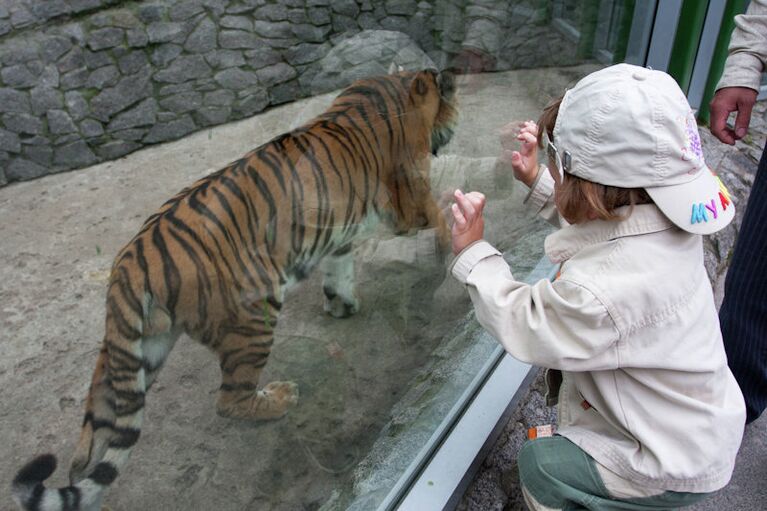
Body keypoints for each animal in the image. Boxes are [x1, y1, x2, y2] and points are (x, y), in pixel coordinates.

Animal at [12, 69, 460, 511]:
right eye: (448, 100)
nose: (455, 123)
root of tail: (129, 265)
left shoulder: (340, 232)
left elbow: (340, 270)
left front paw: (342, 305)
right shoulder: (411, 198)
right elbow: (439, 209)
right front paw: (453, 242)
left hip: (139, 354)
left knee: (94, 436)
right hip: (253, 317)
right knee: (229, 401)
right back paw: (280, 398)